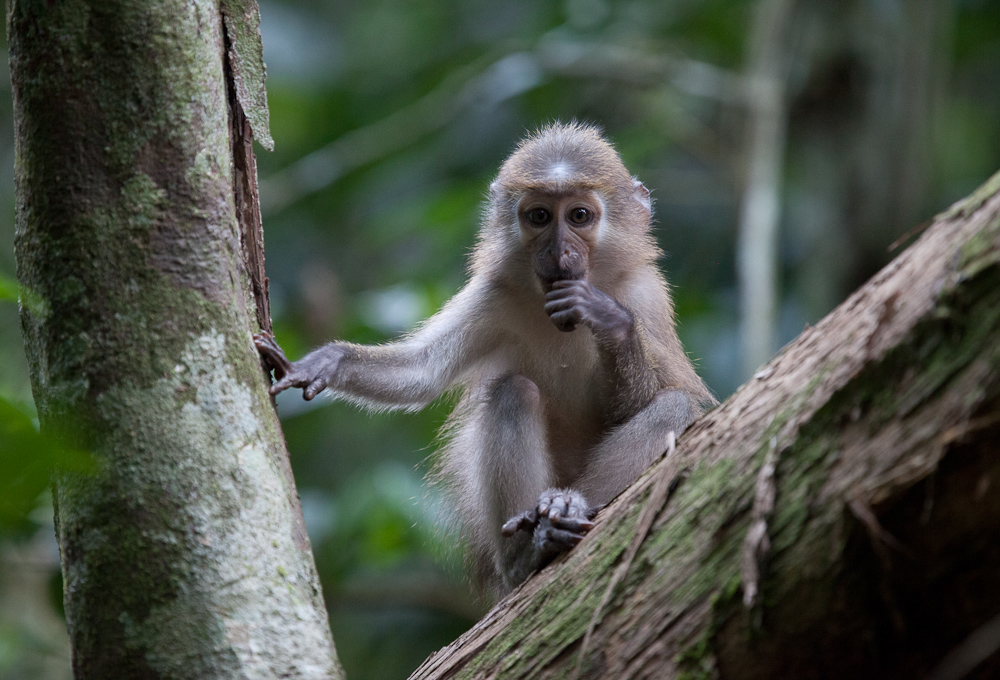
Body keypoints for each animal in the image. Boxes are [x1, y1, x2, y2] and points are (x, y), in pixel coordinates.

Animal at [254, 122, 716, 596]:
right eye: (539, 217)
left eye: (579, 217)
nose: (558, 252)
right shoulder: (494, 294)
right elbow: (420, 374)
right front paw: (322, 363)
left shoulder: (646, 296)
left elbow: (655, 397)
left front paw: (606, 318)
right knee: (513, 392)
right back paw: (527, 553)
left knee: (675, 406)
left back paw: (567, 504)